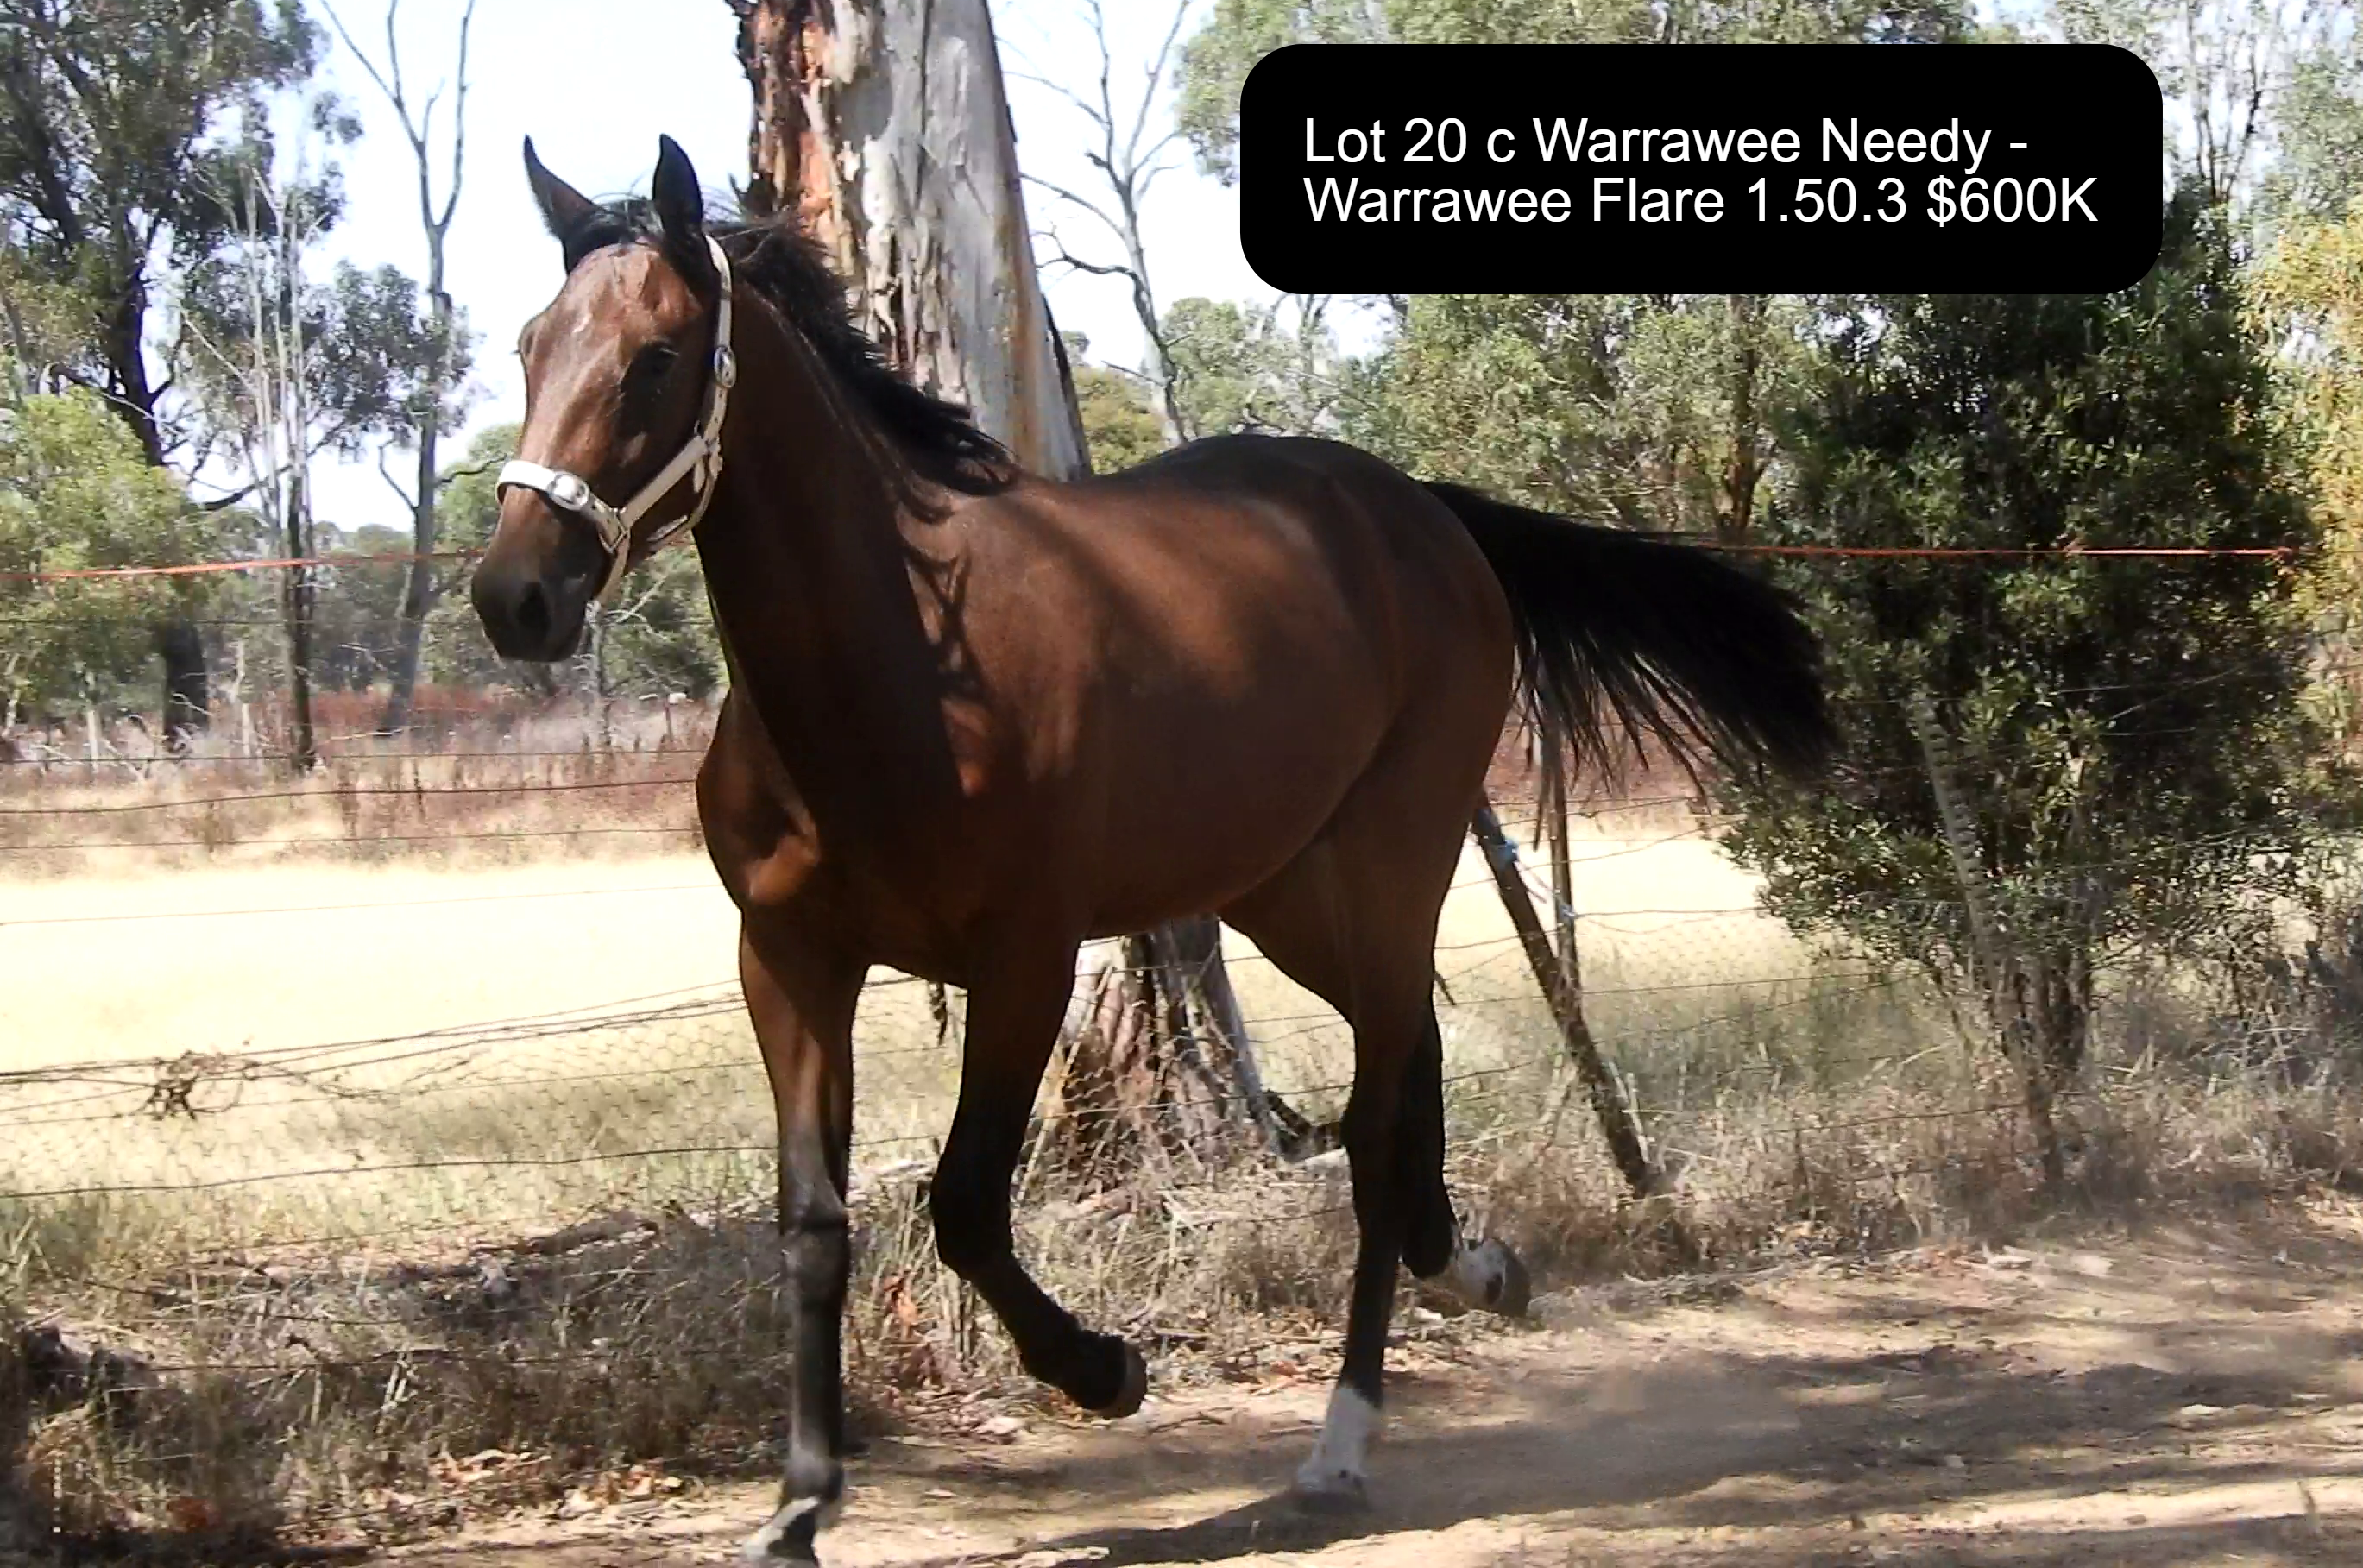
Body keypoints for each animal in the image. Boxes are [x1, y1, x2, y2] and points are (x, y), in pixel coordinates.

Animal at [472, 135, 1833, 1564]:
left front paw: (1106, 1370)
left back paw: (1342, 1439)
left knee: (1375, 1112)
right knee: (1406, 1065)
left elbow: (964, 1206)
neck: (903, 670)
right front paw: (798, 1504)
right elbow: (812, 1226)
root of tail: (1423, 512)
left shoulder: (1025, 962)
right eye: (531, 344)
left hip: (1391, 855)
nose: (516, 597)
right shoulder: (789, 961)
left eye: (655, 358)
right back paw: (1471, 1265)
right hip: (1280, 892)